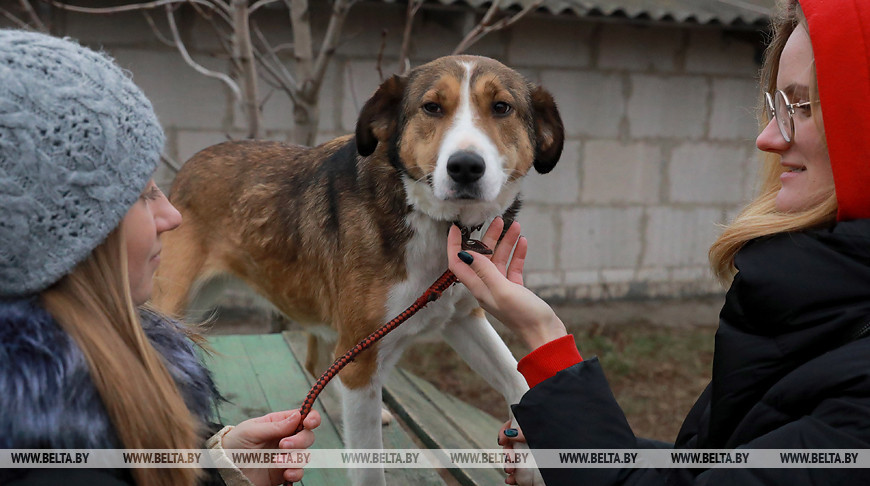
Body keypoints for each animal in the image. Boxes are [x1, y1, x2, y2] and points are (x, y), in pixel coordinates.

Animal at [154, 54, 564, 486]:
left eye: (501, 107)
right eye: (431, 107)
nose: (465, 167)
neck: (431, 220)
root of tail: (189, 164)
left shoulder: (462, 318)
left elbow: (518, 377)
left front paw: (531, 457)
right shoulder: (362, 357)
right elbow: (369, 469)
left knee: (319, 363)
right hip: (178, 299)